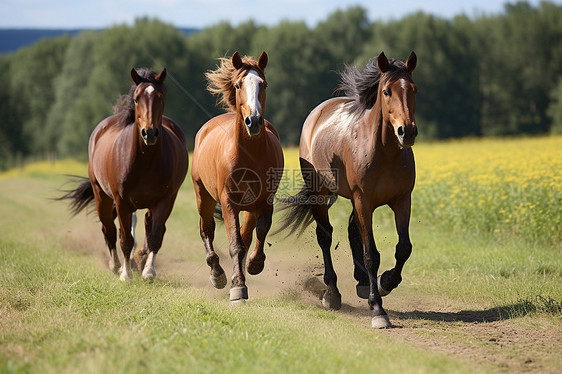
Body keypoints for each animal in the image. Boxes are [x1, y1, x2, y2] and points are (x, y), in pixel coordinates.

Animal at [190, 51, 282, 304]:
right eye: (239, 84)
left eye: (264, 84)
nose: (254, 121)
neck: (249, 154)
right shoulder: (228, 202)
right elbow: (235, 244)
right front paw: (238, 286)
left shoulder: (264, 201)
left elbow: (259, 232)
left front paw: (253, 265)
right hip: (203, 196)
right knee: (206, 229)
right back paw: (217, 273)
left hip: (249, 207)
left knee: (245, 235)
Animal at [276, 50, 416, 328]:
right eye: (386, 91)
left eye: (414, 89)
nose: (407, 132)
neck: (385, 152)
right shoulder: (363, 200)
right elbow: (371, 254)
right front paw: (378, 309)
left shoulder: (402, 200)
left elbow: (403, 248)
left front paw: (384, 283)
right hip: (321, 195)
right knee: (325, 236)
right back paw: (332, 294)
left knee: (352, 231)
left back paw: (362, 283)